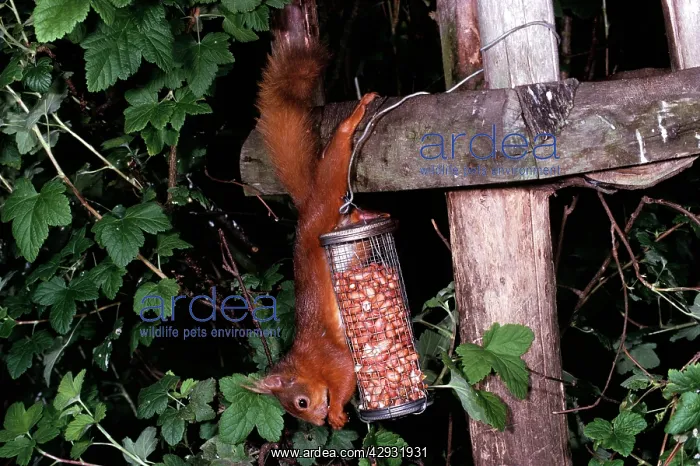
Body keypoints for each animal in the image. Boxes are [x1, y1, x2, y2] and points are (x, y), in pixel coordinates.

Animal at [244, 35, 380, 430]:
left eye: (301, 402)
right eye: (295, 411)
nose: (317, 423)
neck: (306, 361)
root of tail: (307, 207)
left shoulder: (331, 357)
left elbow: (347, 373)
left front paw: (336, 413)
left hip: (329, 190)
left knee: (336, 156)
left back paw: (353, 119)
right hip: (346, 230)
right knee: (355, 217)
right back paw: (374, 212)